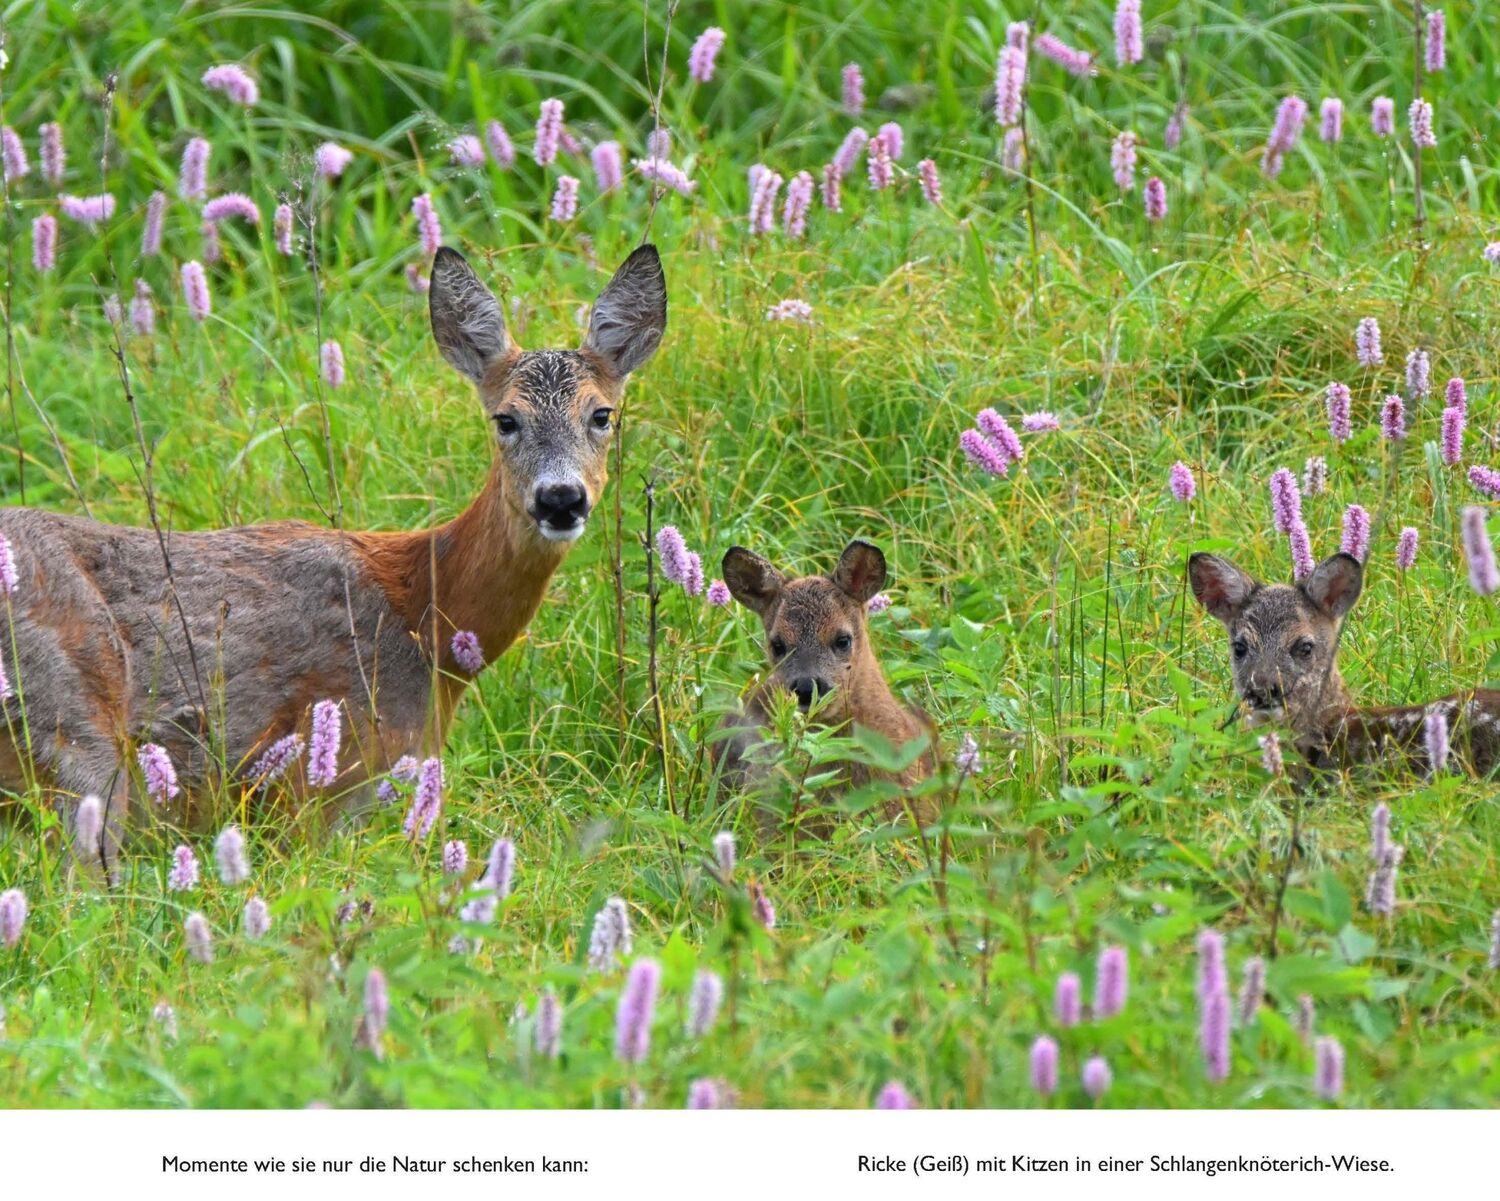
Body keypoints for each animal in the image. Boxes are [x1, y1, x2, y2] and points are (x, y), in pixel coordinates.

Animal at [0, 242, 669, 869]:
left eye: (602, 414)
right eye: (505, 419)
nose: (561, 498)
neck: (422, 620)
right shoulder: (317, 789)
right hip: (79, 740)